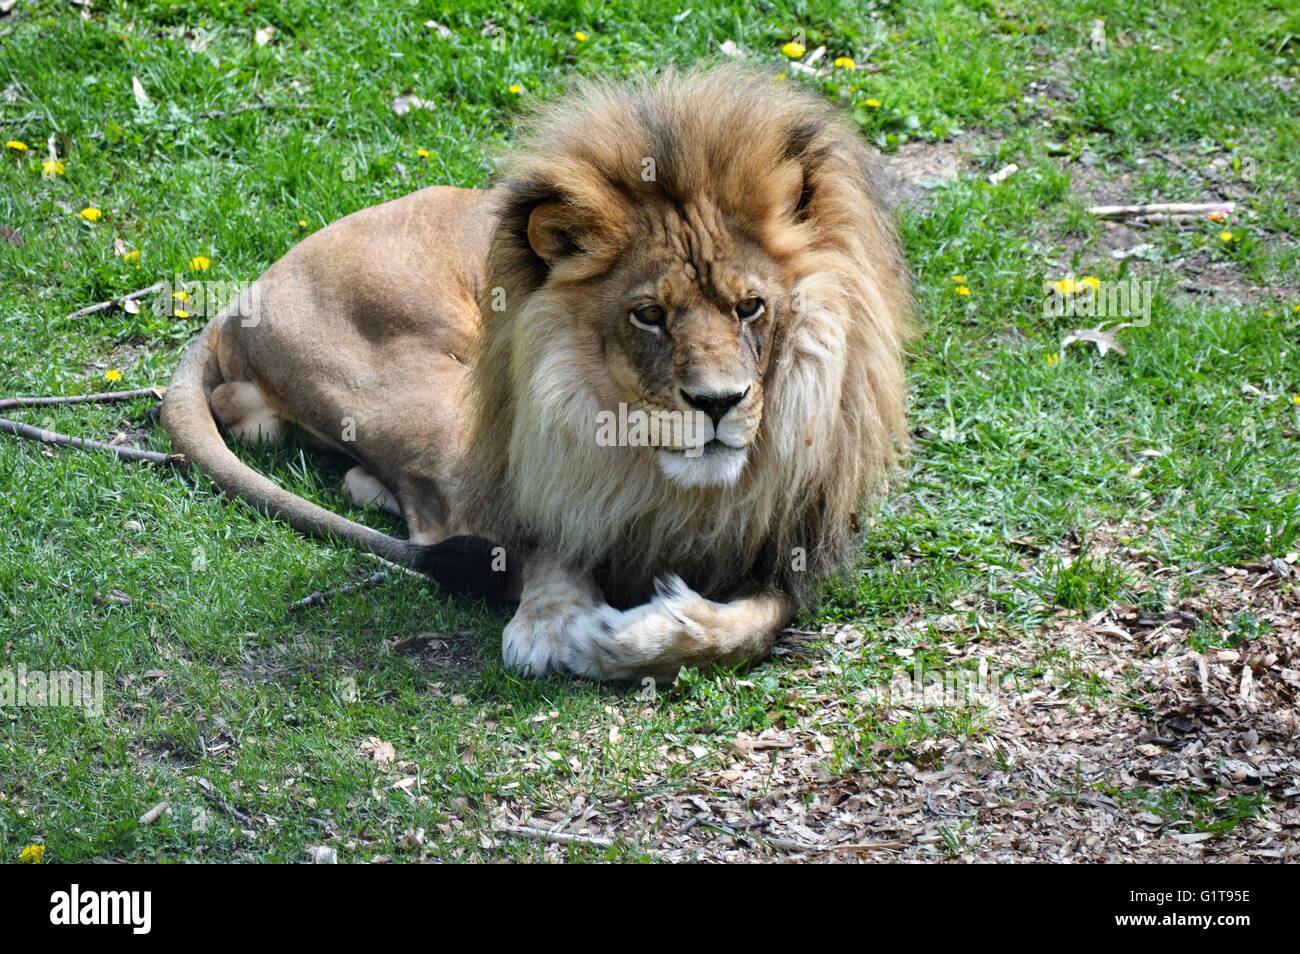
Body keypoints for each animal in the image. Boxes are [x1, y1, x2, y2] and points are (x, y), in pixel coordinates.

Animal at [161, 66, 912, 681]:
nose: (718, 402)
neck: (659, 482)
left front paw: (636, 635)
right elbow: (549, 550)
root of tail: (242, 296)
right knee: (444, 523)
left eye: (750, 306)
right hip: (435, 389)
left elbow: (749, 628)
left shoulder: (791, 550)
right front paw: (556, 628)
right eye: (648, 316)